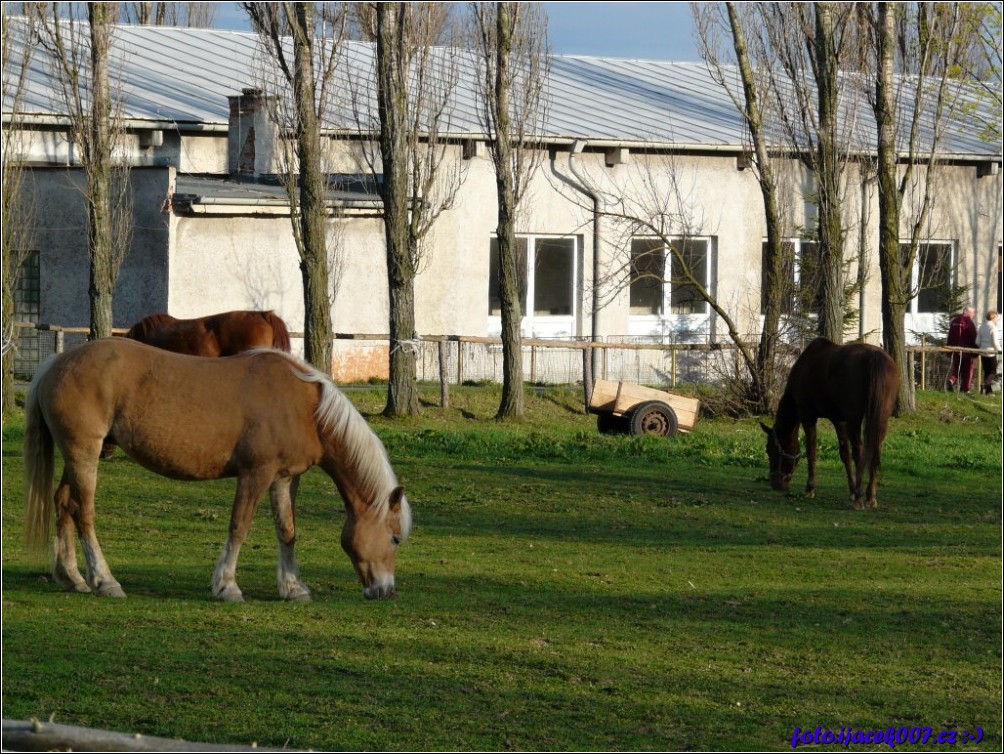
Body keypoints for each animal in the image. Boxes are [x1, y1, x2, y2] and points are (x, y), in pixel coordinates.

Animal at [23, 335, 409, 602]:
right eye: (394, 537)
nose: (385, 590)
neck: (306, 407)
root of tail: (55, 363)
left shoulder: (284, 478)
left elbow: (287, 530)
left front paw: (293, 587)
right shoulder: (256, 474)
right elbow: (239, 526)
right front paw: (227, 587)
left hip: (76, 457)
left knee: (63, 504)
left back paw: (71, 577)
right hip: (84, 454)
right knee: (83, 512)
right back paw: (105, 581)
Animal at [759, 339, 903, 510]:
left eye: (770, 450)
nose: (776, 484)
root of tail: (875, 356)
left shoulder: (808, 416)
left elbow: (811, 451)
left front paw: (810, 488)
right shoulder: (839, 420)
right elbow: (845, 454)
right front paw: (851, 490)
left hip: (854, 419)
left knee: (860, 452)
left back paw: (858, 499)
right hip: (881, 418)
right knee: (874, 449)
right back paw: (870, 496)